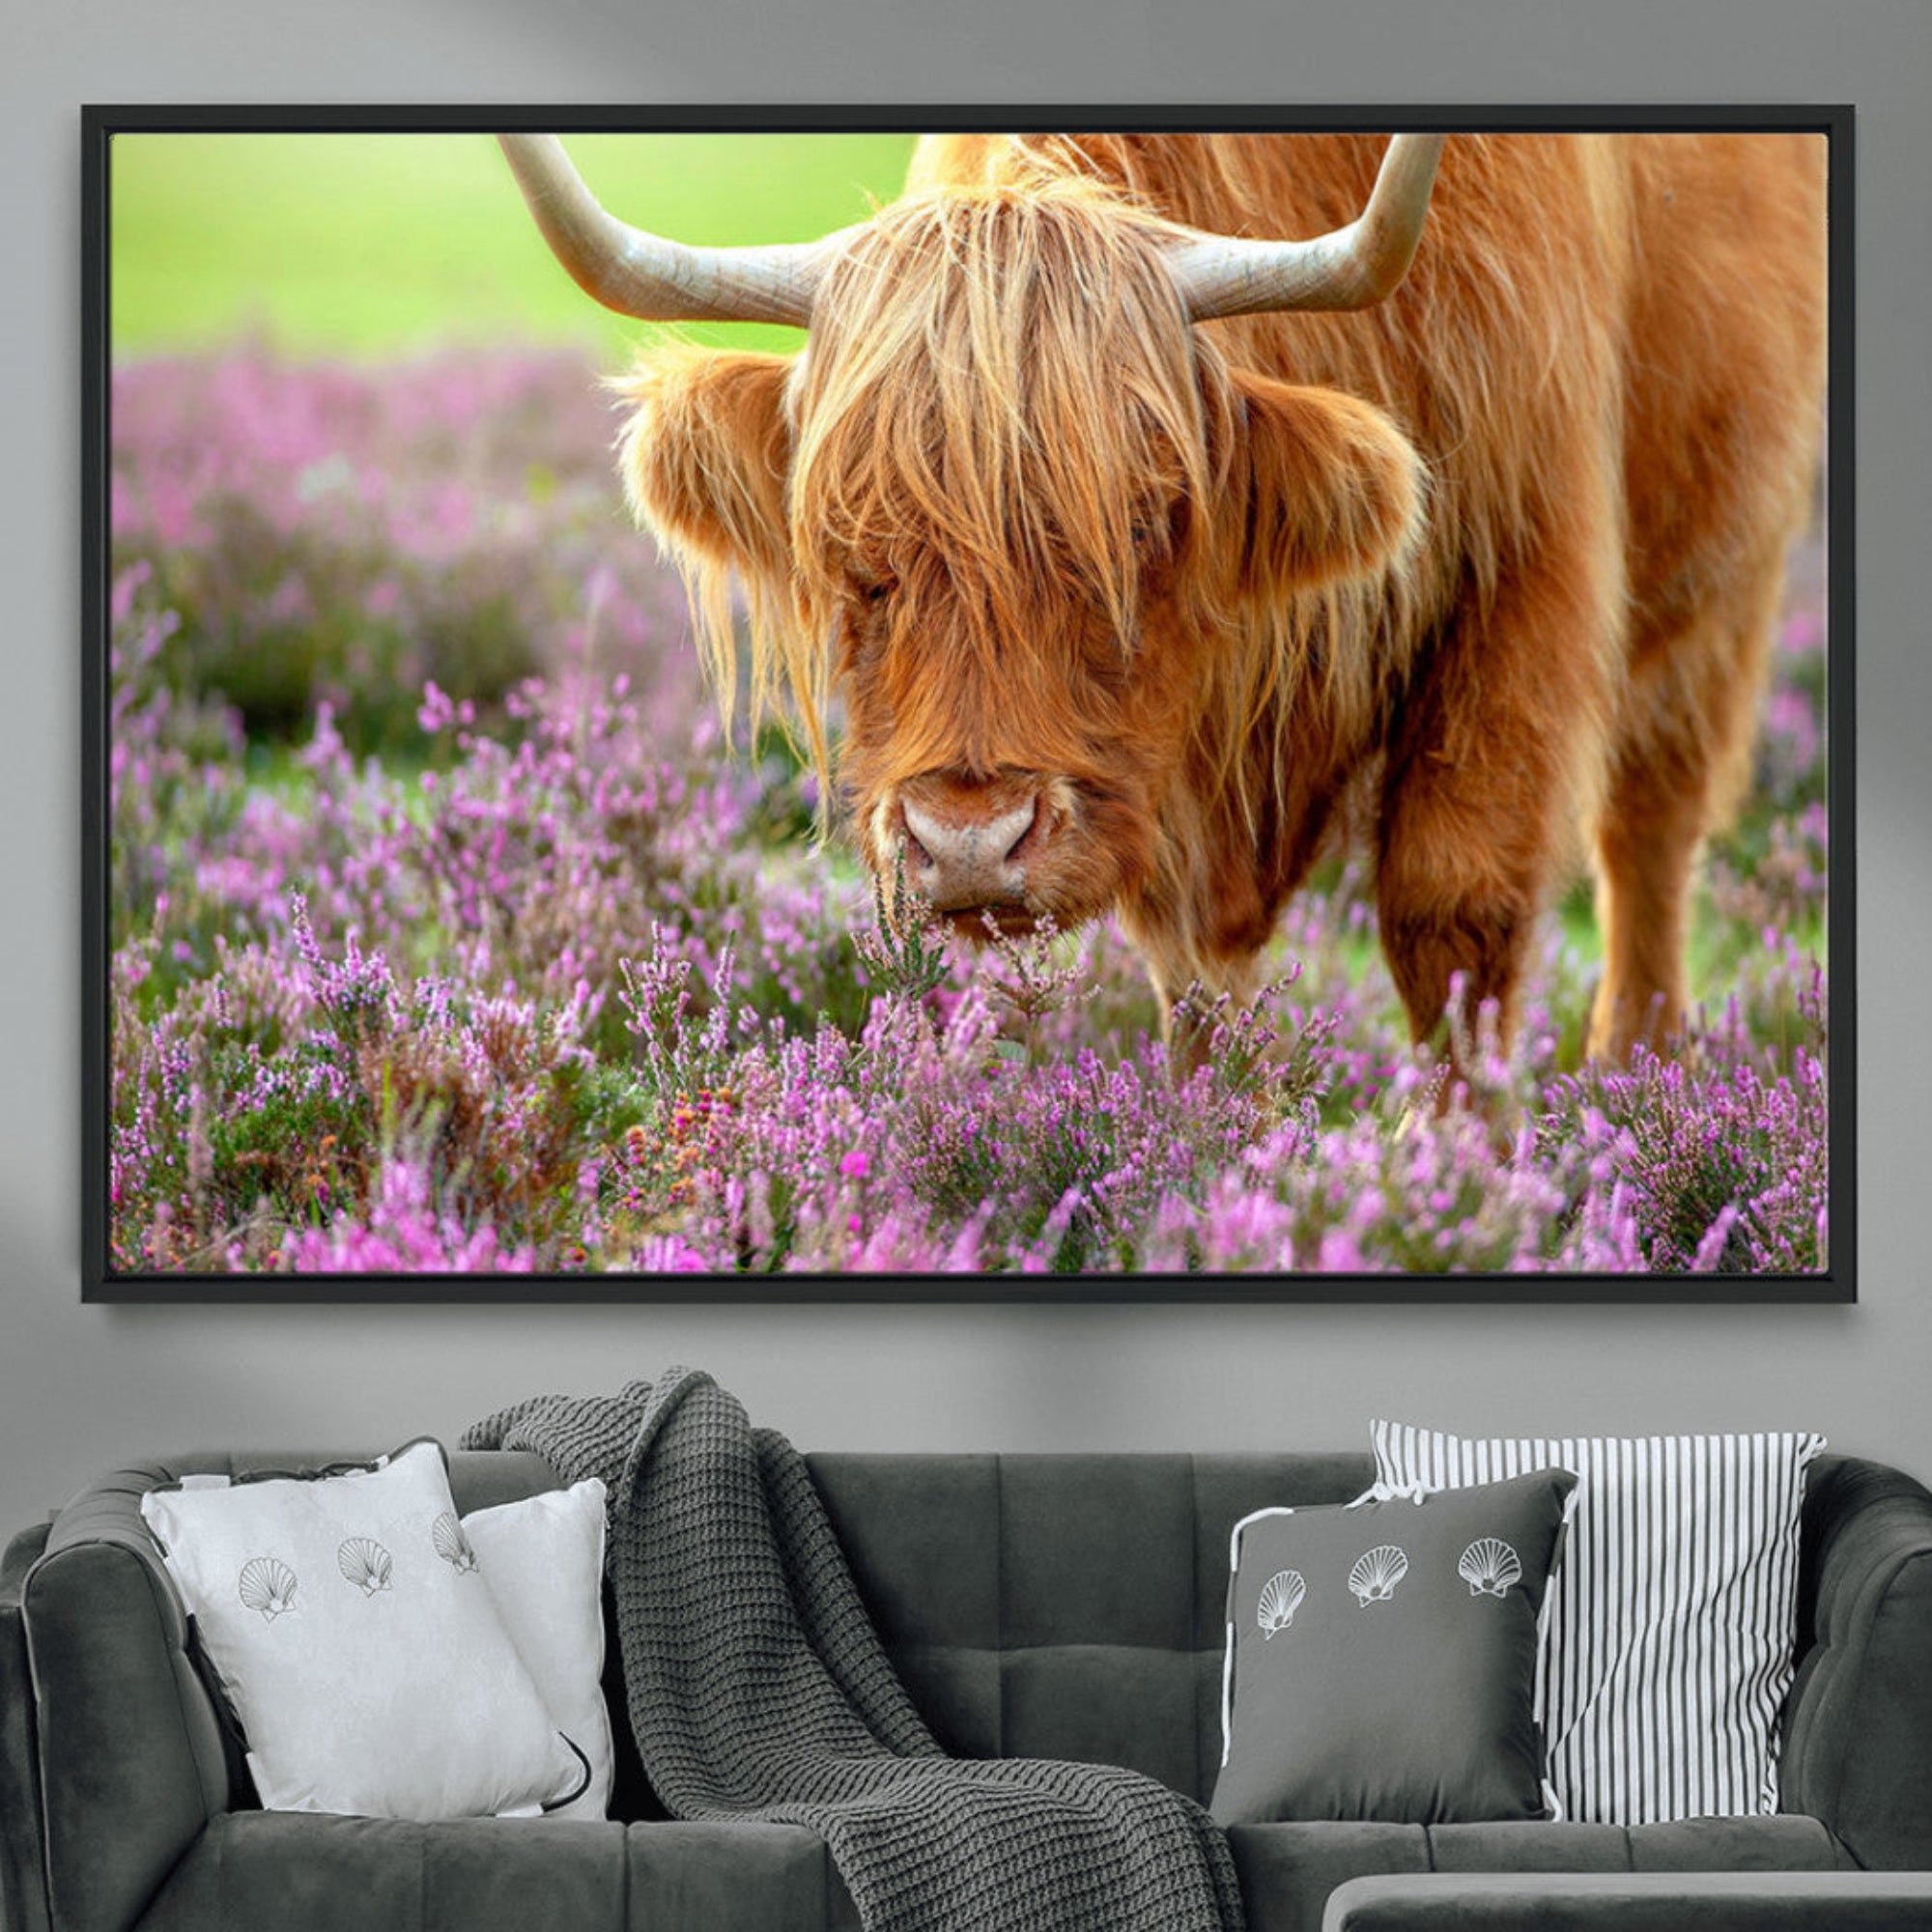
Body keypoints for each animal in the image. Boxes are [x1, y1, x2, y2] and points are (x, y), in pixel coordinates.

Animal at [499, 130, 1826, 1064]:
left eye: (1140, 522)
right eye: (847, 545)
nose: (968, 842)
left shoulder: (1523, 564)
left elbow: (1455, 910)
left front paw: (1458, 1187)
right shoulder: (1167, 763)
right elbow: (1192, 975)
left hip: (1726, 561)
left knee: (1648, 832)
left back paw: (1634, 1074)